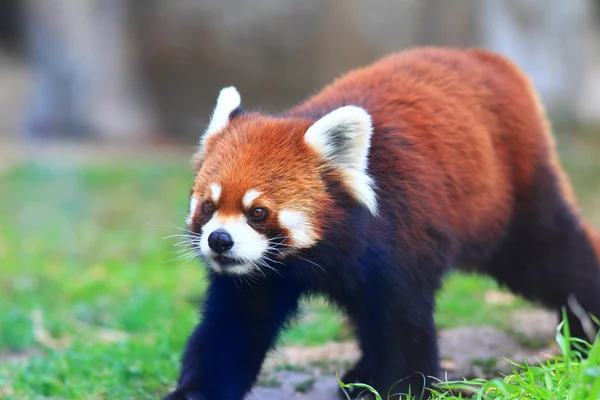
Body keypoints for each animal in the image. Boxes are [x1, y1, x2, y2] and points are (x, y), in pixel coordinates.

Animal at [164, 47, 600, 400]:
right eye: (208, 206)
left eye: (257, 212)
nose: (220, 240)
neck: (313, 257)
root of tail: (487, 57)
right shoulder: (258, 278)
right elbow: (232, 333)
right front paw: (194, 392)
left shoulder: (400, 240)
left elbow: (402, 326)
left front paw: (399, 389)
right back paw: (359, 376)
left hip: (513, 195)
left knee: (554, 257)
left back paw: (586, 334)